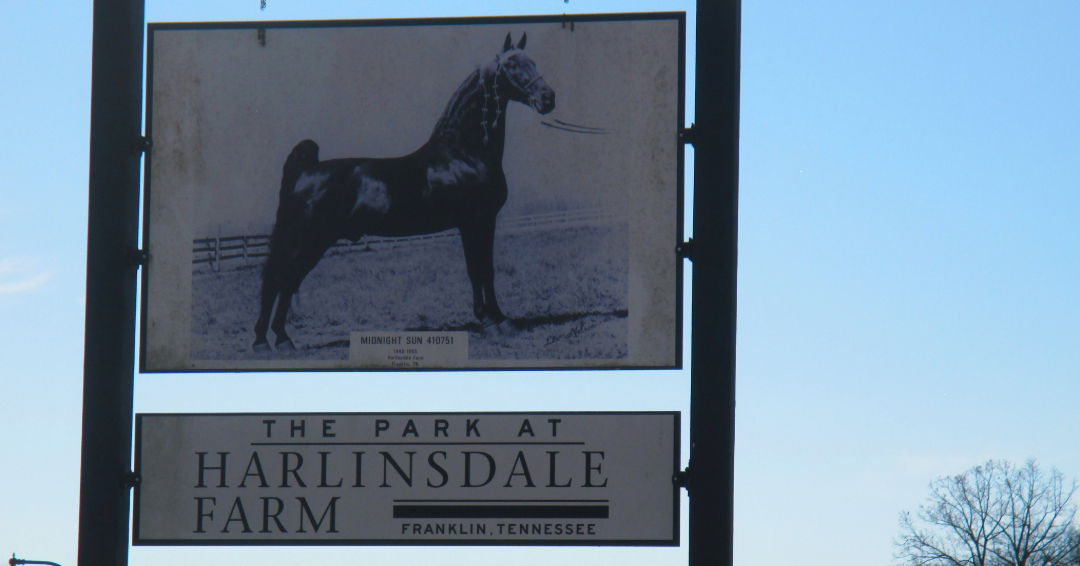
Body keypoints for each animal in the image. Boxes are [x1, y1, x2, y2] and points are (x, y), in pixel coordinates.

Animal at [254, 33, 557, 352]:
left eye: (533, 61)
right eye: (511, 65)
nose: (548, 98)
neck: (463, 154)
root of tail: (306, 171)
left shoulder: (485, 223)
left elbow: (487, 271)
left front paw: (500, 319)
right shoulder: (472, 222)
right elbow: (477, 271)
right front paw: (488, 322)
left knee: (284, 282)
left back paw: (276, 339)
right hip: (307, 242)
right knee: (280, 280)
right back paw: (270, 340)